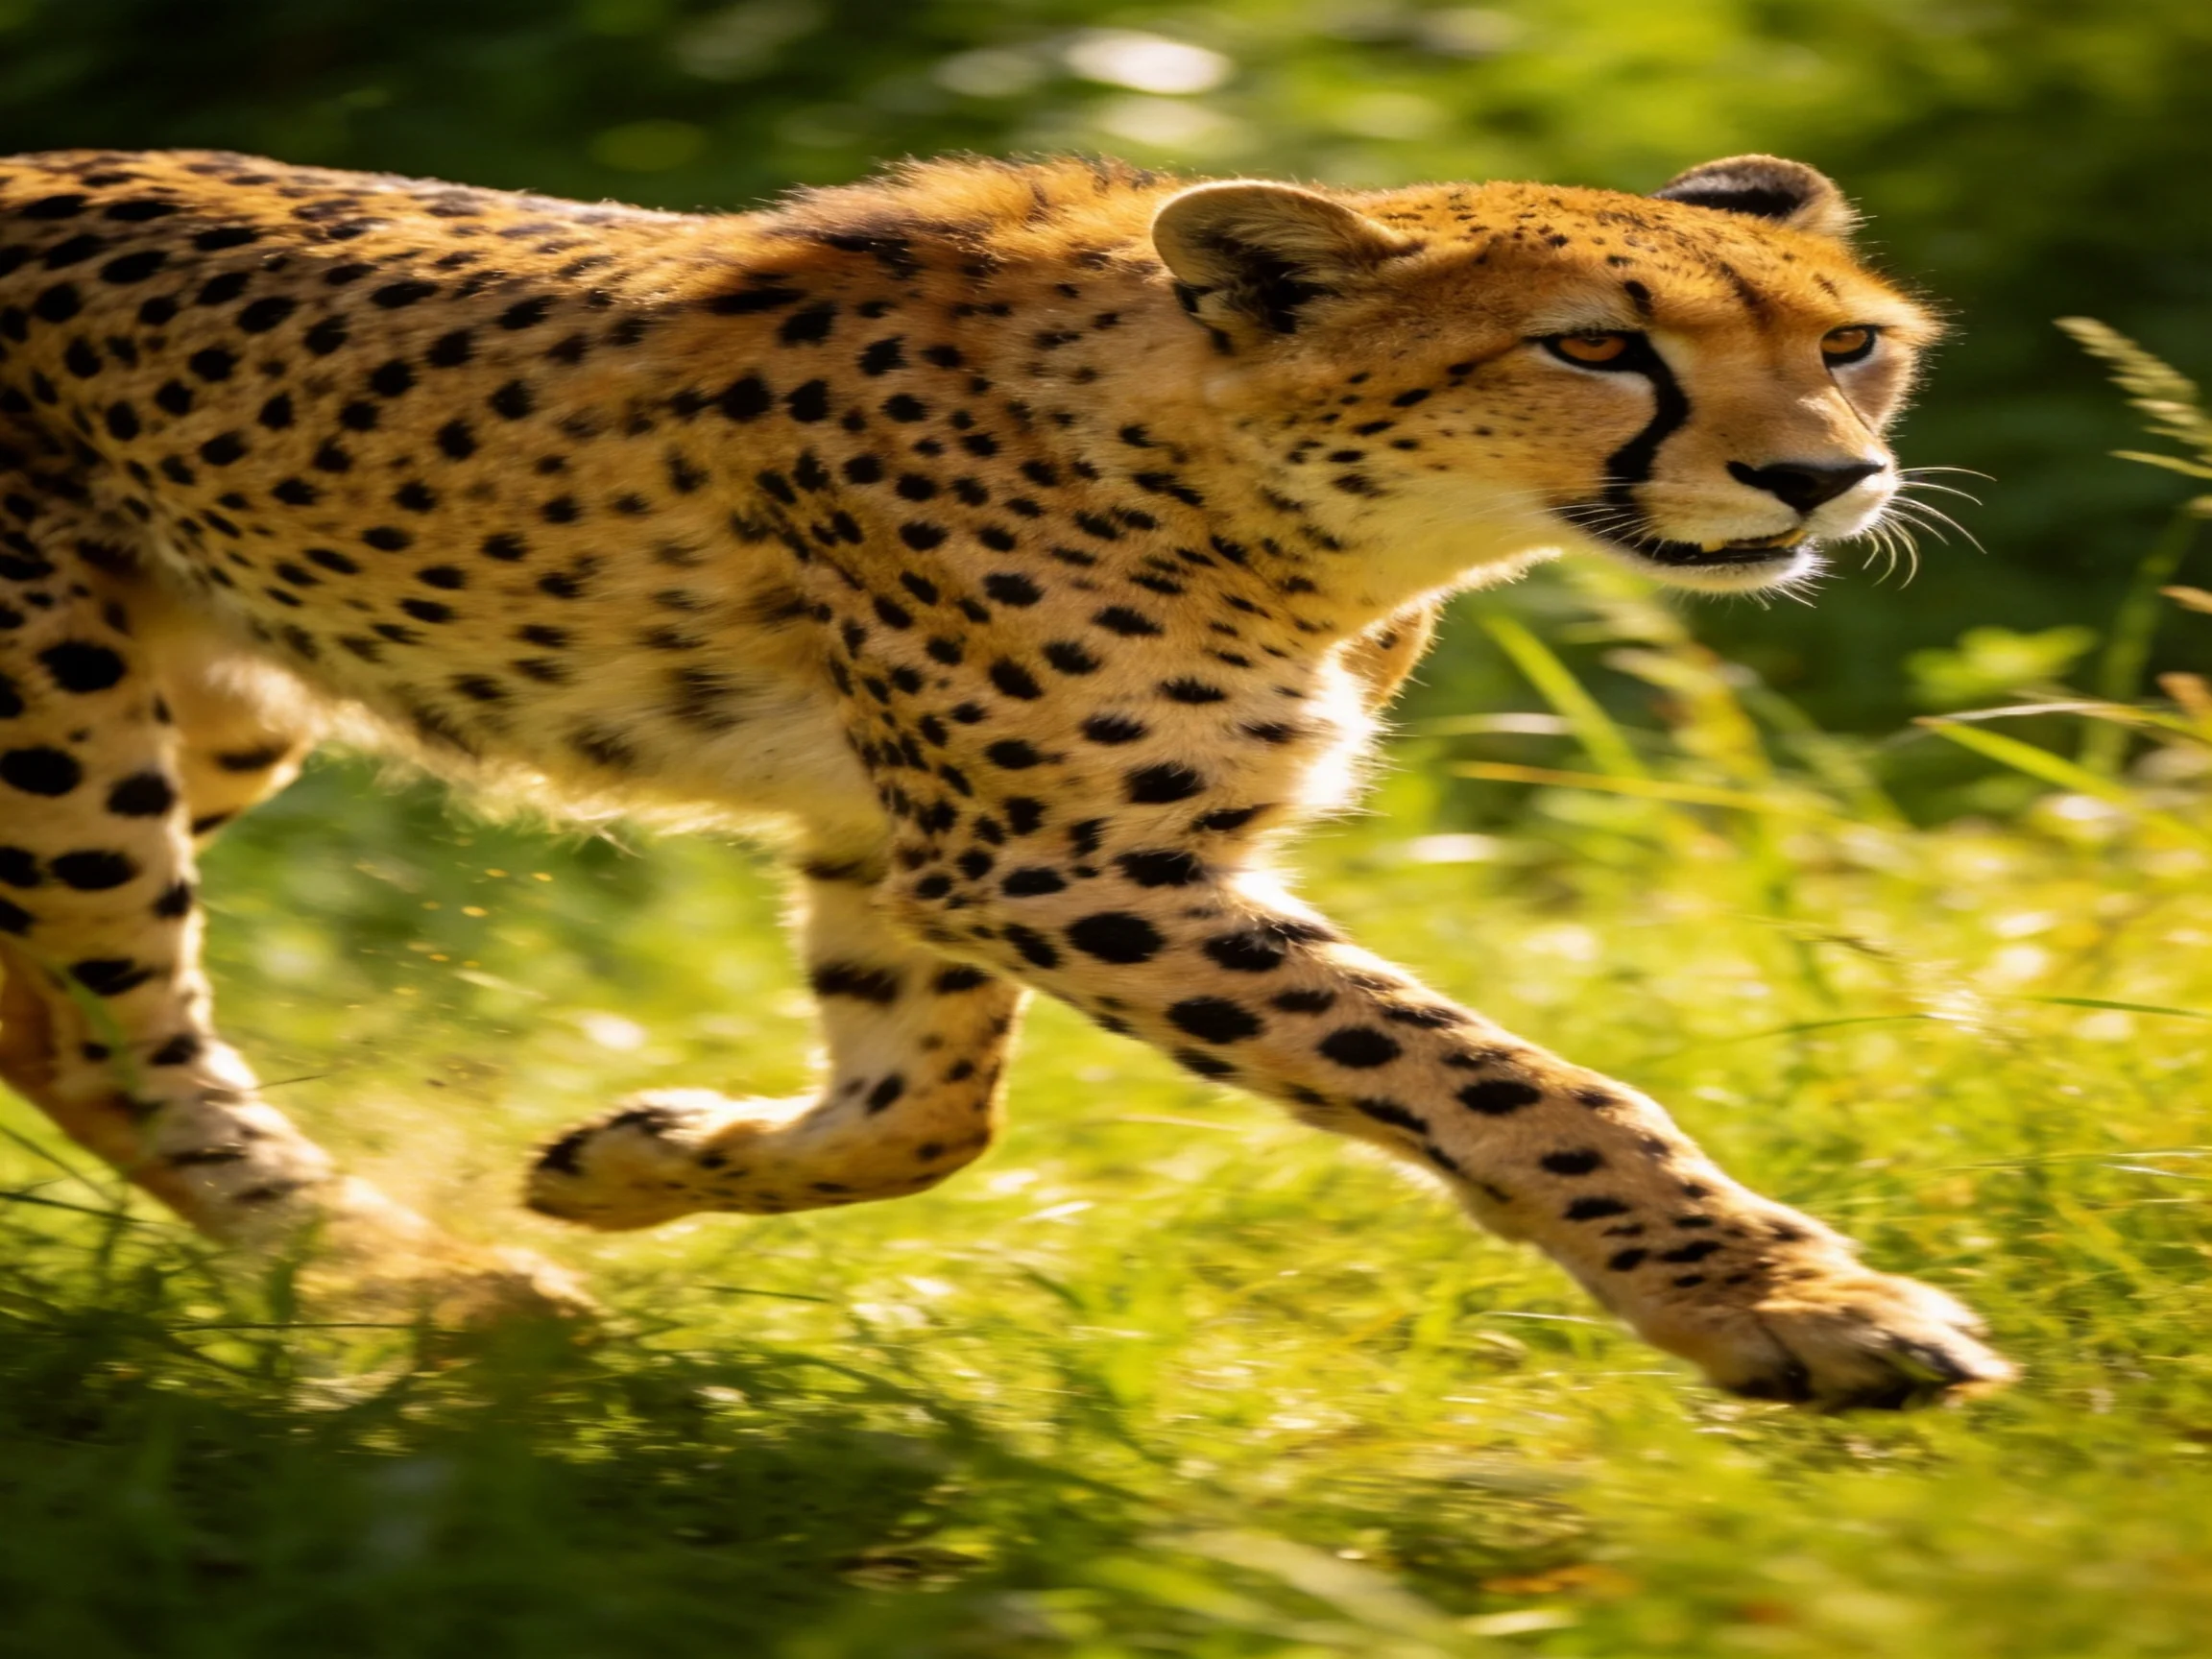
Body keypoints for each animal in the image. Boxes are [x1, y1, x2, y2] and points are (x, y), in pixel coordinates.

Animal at [0, 144, 2015, 1406]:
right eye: (1592, 343)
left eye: (1844, 342)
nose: (1820, 479)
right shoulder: (1059, 862)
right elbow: (1508, 1082)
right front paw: (1787, 1303)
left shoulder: (909, 844)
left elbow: (923, 1110)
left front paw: (643, 1157)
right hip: (66, 719)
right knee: (109, 1038)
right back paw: (443, 1298)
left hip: (210, 717)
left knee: (44, 1020)